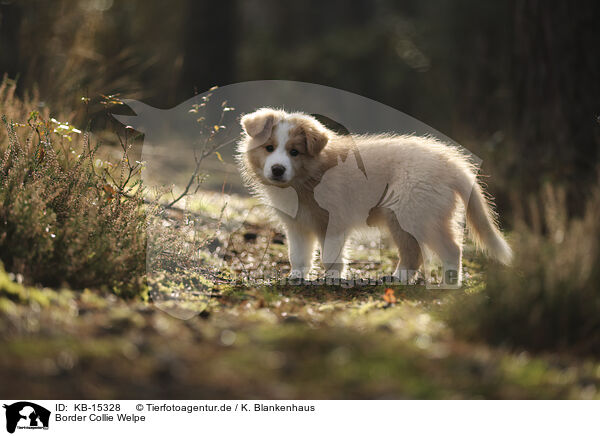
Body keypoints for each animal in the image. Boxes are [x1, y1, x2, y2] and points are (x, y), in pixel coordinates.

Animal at [236, 110, 510, 282]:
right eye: (269, 148)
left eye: (294, 152)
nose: (277, 169)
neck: (308, 177)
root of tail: (452, 164)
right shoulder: (297, 226)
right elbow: (298, 255)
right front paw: (296, 277)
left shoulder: (334, 222)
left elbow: (331, 256)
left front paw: (332, 279)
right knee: (420, 253)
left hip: (412, 214)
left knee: (447, 250)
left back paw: (443, 284)